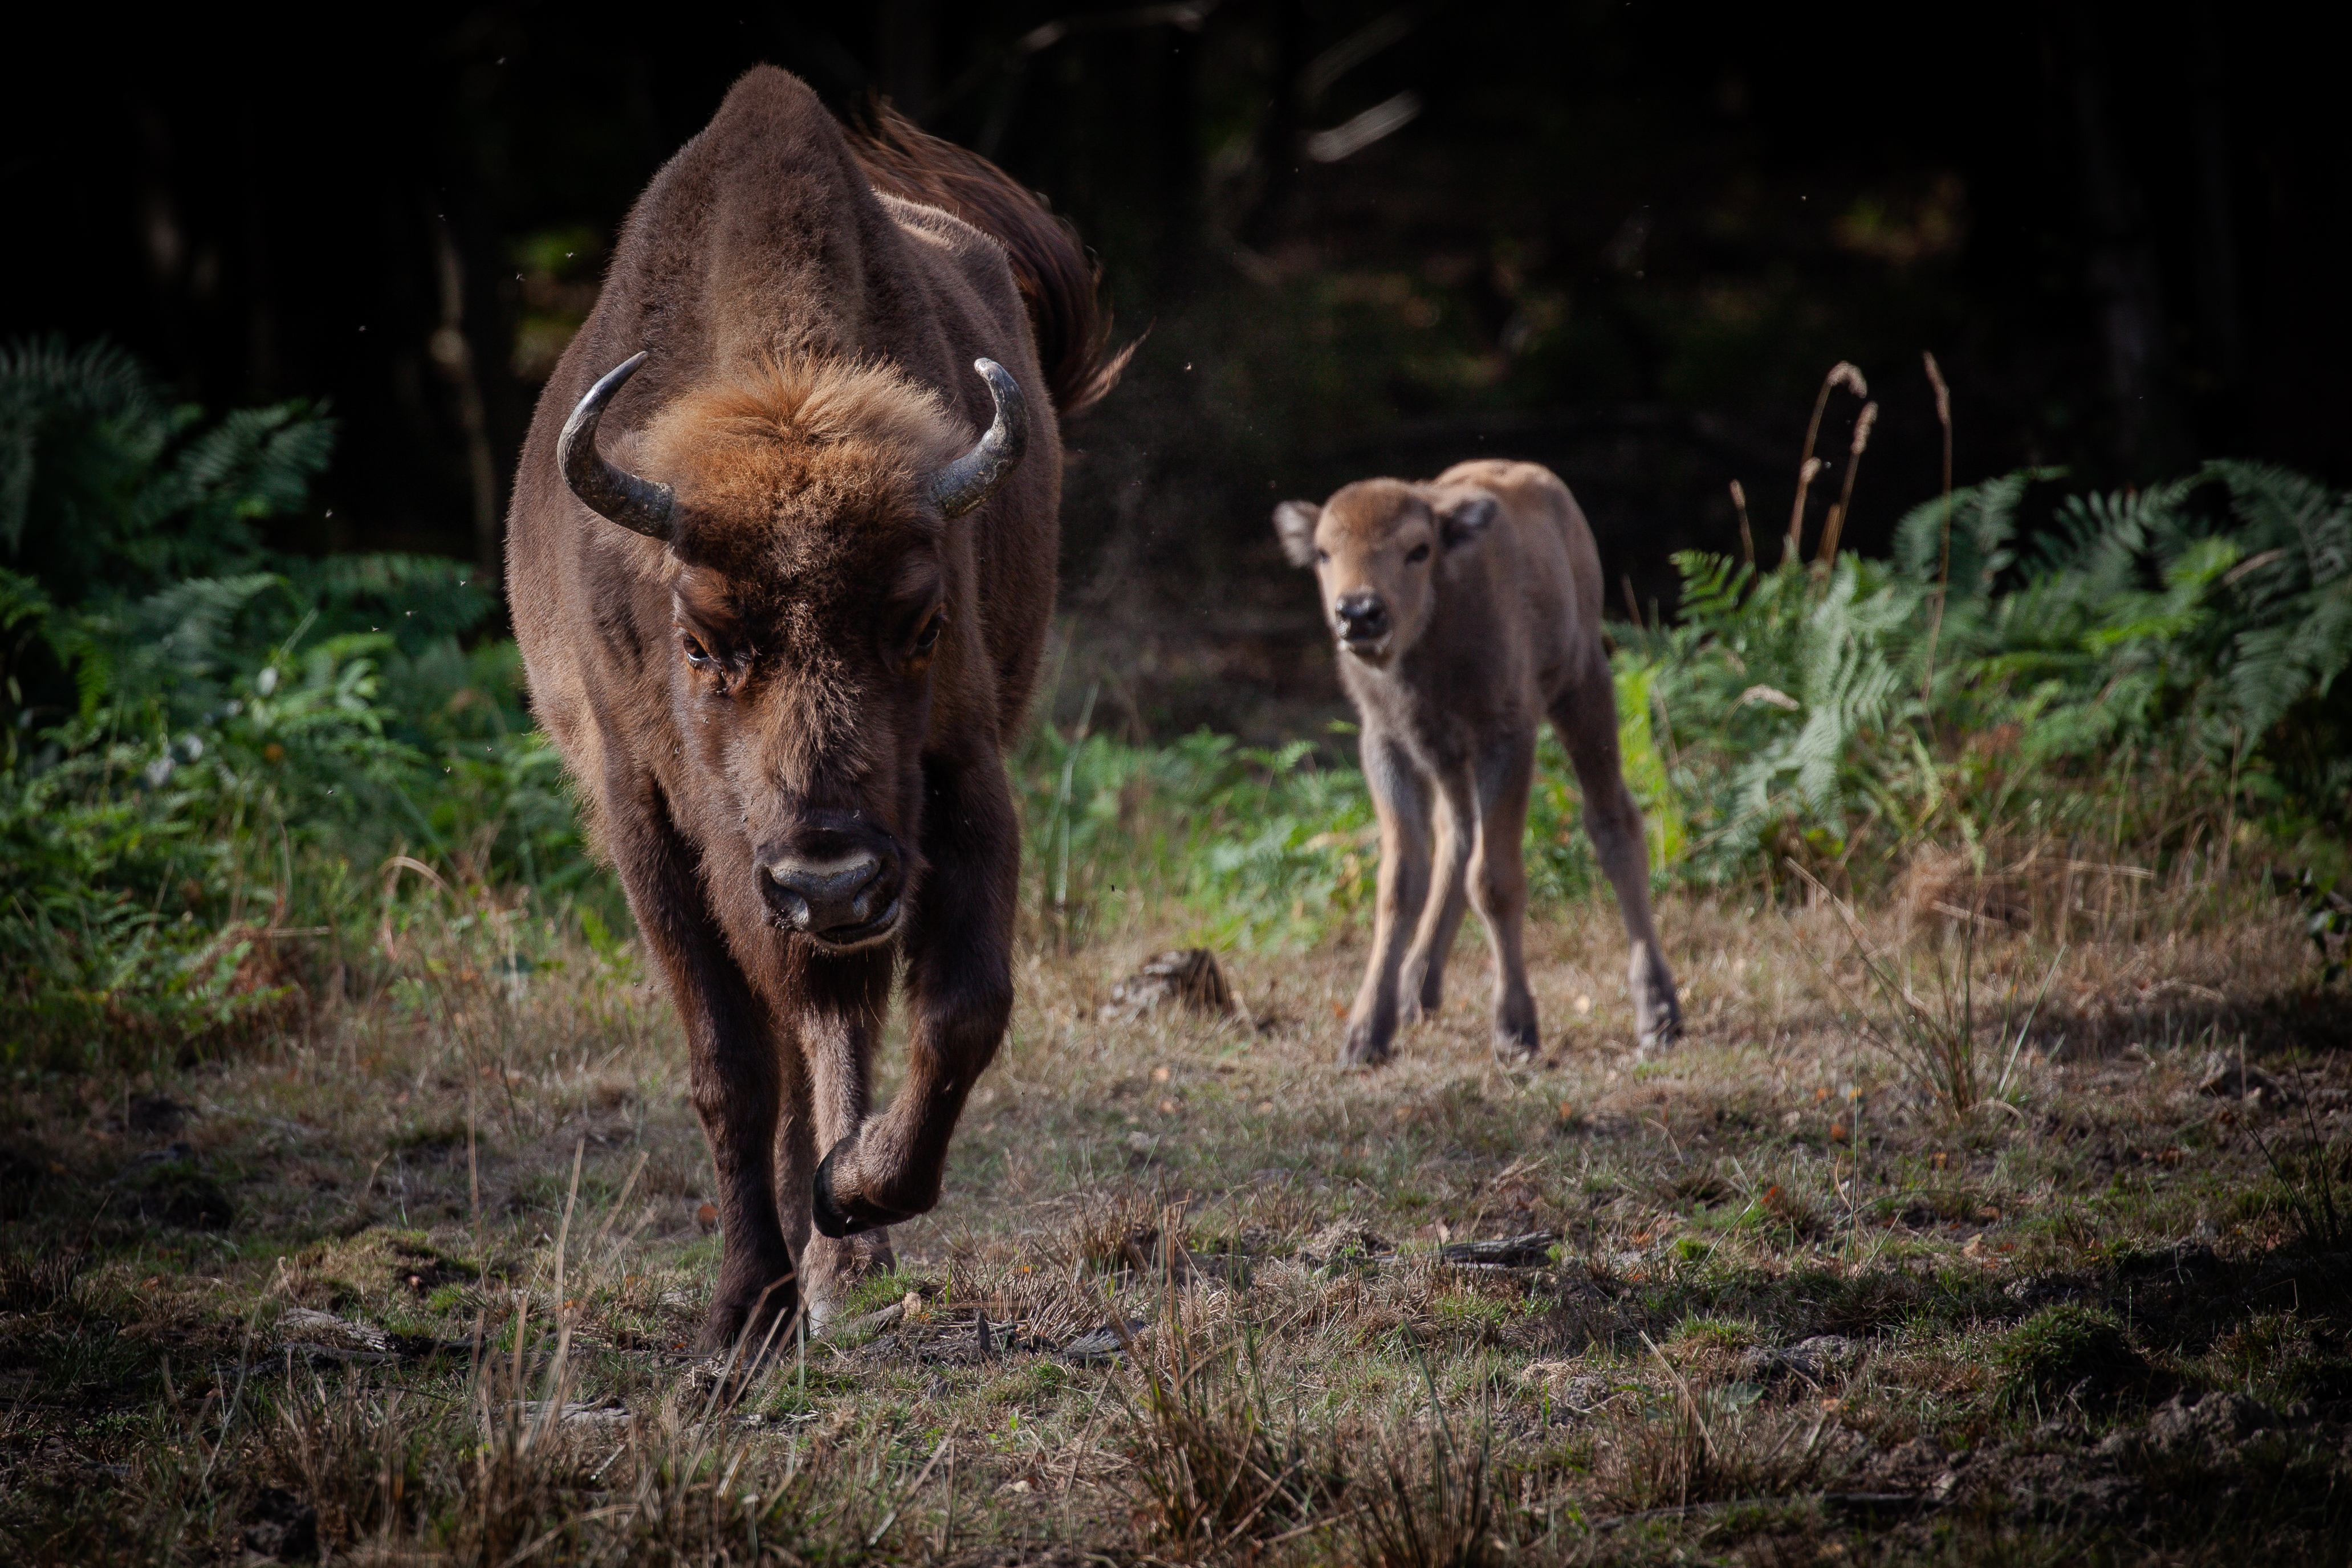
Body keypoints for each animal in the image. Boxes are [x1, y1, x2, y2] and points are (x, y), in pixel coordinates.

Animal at [506, 66, 1125, 1354]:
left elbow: (958, 1011)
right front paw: (745, 1310)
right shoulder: (645, 821)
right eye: (700, 641)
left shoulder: (958, 778)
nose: (830, 876)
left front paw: (855, 1196)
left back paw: (843, 1251)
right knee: (792, 1031)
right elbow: (728, 1064)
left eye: (922, 623)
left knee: (837, 1022)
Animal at [1272, 460, 1683, 1067]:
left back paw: (1658, 1015)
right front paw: (1365, 1034)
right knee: (1456, 834)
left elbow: (1495, 879)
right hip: (1449, 762)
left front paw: (1515, 1031)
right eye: (1324, 552)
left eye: (1418, 549)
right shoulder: (1390, 744)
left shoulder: (1504, 738)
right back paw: (1415, 990)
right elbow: (1401, 879)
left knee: (1614, 822)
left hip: (1583, 687)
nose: (1360, 614)